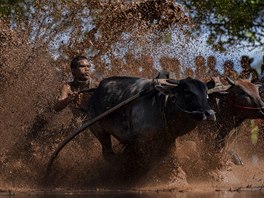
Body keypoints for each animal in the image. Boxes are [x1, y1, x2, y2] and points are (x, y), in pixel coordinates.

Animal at [87, 76, 216, 161]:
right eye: (187, 92)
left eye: (206, 93)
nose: (210, 114)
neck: (163, 105)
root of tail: (95, 92)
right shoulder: (139, 143)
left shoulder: (169, 141)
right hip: (100, 132)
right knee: (107, 152)